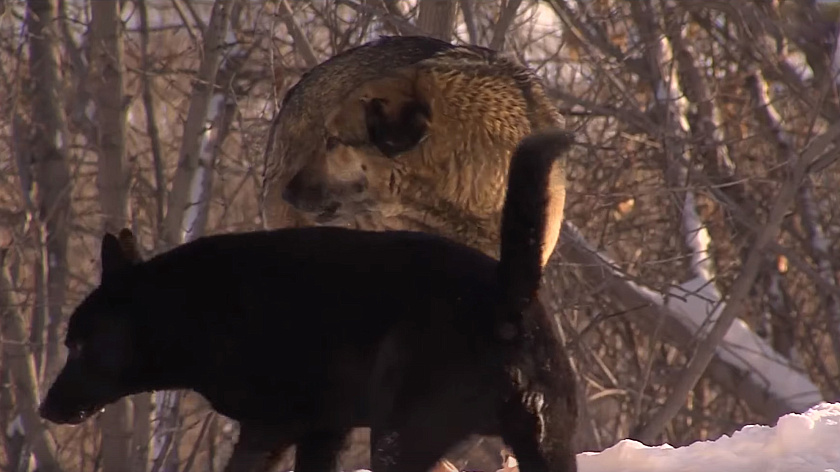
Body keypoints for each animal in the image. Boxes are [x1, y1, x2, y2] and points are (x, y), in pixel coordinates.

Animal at [39, 130, 576, 472]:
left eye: (78, 346)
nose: (45, 409)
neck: (188, 308)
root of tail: (509, 292)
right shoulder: (323, 432)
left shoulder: (271, 427)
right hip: (546, 444)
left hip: (398, 436)